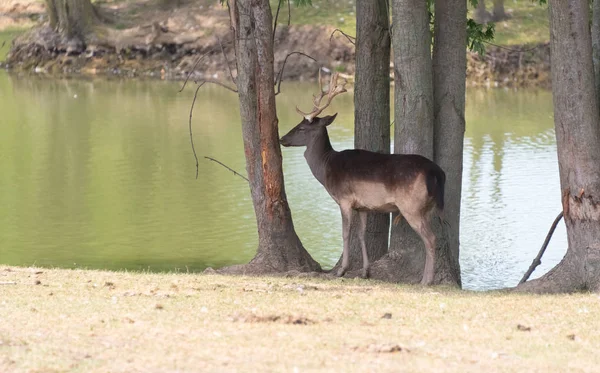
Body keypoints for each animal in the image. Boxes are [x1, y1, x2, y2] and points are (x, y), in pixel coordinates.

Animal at [280, 72, 446, 284]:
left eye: (301, 128)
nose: (282, 139)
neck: (326, 168)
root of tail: (437, 173)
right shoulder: (364, 206)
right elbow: (361, 235)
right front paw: (366, 271)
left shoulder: (344, 199)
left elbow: (345, 233)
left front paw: (341, 270)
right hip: (430, 207)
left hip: (412, 205)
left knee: (431, 239)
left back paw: (426, 281)